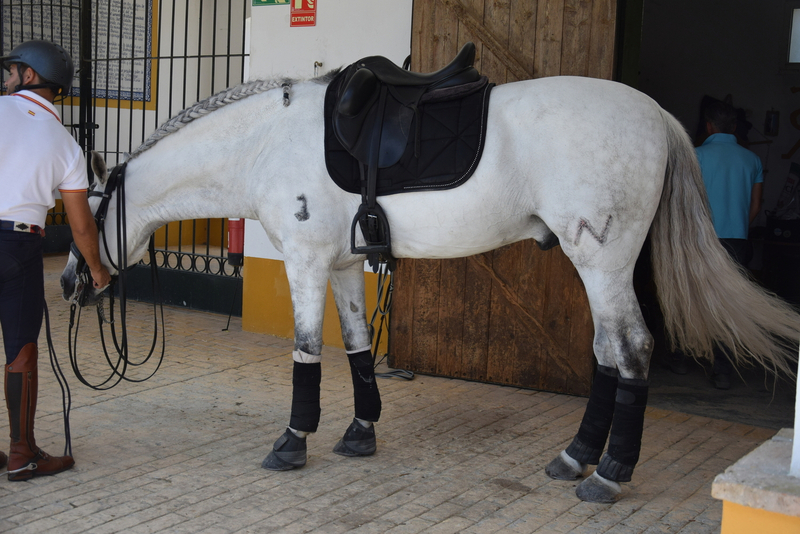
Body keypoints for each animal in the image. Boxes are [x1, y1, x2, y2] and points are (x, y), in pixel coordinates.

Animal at [60, 71, 800, 503]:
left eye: (83, 213)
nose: (69, 282)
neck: (265, 144)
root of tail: (657, 116)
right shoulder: (341, 265)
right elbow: (357, 346)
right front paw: (360, 432)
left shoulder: (305, 260)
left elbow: (306, 351)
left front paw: (293, 441)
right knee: (606, 356)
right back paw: (575, 459)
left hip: (604, 262)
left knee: (633, 352)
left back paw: (610, 475)